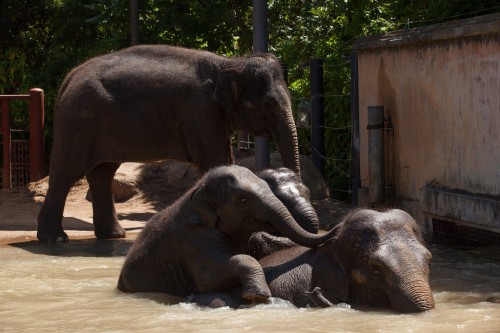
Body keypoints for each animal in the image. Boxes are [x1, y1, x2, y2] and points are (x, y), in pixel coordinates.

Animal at [37, 44, 300, 241]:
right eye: (267, 104)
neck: (229, 63)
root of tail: (68, 79)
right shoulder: (200, 112)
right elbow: (216, 159)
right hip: (78, 123)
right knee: (66, 172)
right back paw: (55, 239)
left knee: (102, 173)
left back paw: (113, 236)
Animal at [117, 165, 336, 302]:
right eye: (243, 200)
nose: (334, 230)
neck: (198, 187)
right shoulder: (194, 239)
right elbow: (208, 278)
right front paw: (258, 296)